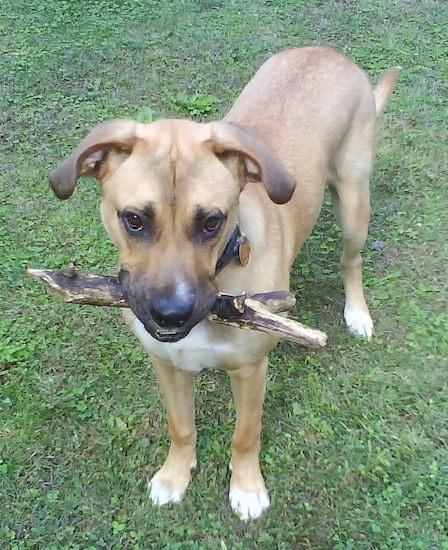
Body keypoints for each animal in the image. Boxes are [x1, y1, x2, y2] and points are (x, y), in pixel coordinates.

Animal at [50, 46, 400, 520]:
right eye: (134, 219)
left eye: (211, 222)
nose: (170, 314)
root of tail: (327, 52)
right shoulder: (166, 364)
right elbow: (180, 425)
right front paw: (174, 475)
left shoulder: (251, 372)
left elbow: (245, 434)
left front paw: (247, 487)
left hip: (353, 202)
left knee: (352, 261)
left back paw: (357, 313)